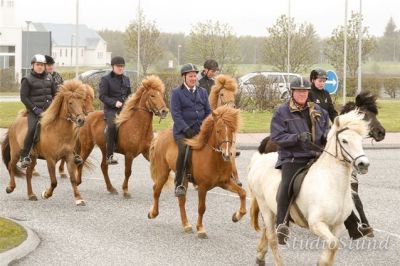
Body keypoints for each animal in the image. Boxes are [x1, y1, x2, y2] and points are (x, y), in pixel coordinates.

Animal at [148, 106, 247, 239]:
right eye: (218, 131)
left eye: (232, 130)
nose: (227, 155)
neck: (214, 158)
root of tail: (160, 135)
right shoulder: (202, 187)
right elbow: (201, 208)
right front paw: (200, 229)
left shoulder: (225, 182)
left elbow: (242, 193)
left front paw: (236, 216)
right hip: (163, 171)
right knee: (156, 190)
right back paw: (153, 213)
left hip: (183, 178)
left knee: (181, 199)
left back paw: (186, 224)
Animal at [248, 109, 370, 264]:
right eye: (344, 141)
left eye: (360, 140)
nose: (363, 164)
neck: (332, 184)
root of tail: (259, 161)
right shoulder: (316, 224)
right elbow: (332, 244)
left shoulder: (337, 226)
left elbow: (333, 248)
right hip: (265, 206)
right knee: (272, 238)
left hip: (272, 209)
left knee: (265, 232)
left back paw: (260, 256)